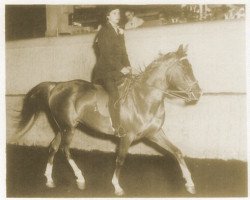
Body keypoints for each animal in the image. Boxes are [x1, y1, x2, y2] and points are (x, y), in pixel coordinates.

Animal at [13, 44, 202, 196]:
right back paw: (80, 179)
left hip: (63, 127)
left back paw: (49, 180)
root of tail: (56, 86)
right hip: (69, 128)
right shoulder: (127, 137)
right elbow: (120, 159)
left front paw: (190, 183)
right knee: (65, 150)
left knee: (53, 147)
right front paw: (117, 187)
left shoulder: (154, 133)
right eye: (184, 68)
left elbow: (177, 152)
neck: (144, 98)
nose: (198, 93)